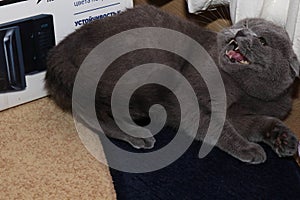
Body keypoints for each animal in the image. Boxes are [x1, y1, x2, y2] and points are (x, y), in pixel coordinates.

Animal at [45, 5, 298, 163]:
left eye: (263, 41)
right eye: (244, 23)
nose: (241, 31)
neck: (247, 93)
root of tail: (62, 47)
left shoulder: (243, 114)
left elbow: (260, 122)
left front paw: (285, 139)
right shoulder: (193, 98)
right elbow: (216, 127)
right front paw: (249, 150)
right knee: (91, 114)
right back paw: (138, 135)